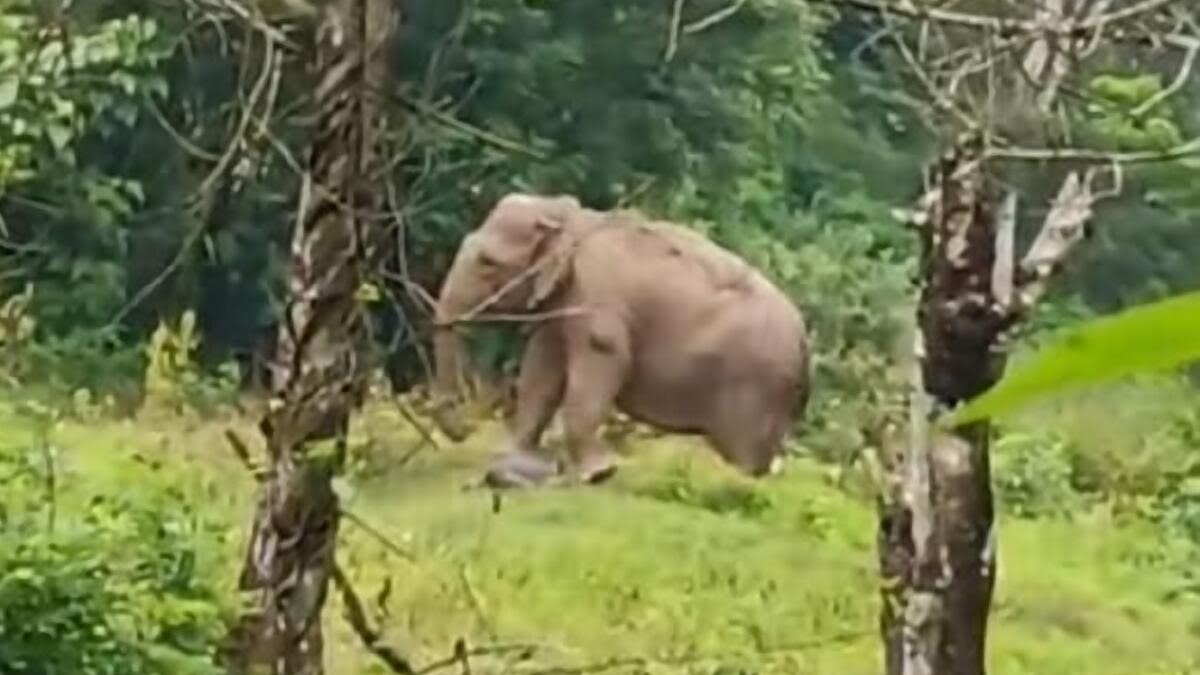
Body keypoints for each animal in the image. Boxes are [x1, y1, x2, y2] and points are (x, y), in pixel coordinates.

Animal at [430, 192, 810, 488]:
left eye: (487, 262)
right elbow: (541, 371)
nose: (464, 429)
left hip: (754, 385)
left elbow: (601, 359)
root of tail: (805, 342)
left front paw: (598, 474)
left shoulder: (596, 295)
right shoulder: (563, 300)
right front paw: (514, 460)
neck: (572, 218)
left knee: (741, 450)